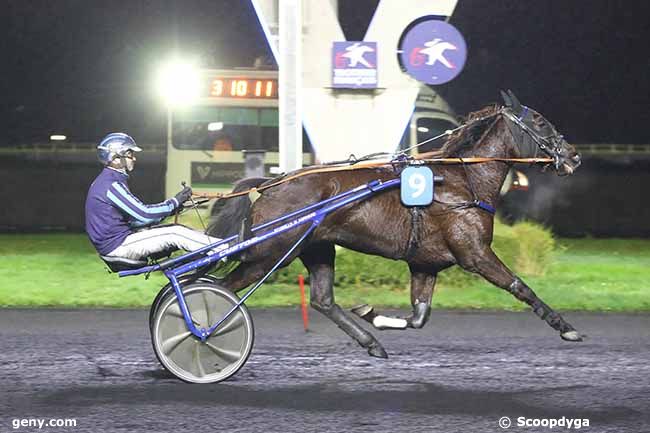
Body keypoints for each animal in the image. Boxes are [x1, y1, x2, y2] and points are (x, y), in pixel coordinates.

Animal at [206, 91, 584, 358]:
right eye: (540, 122)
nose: (574, 155)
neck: (462, 180)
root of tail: (271, 182)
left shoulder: (425, 263)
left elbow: (419, 317)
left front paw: (372, 314)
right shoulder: (475, 254)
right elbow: (521, 287)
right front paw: (567, 328)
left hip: (316, 248)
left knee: (322, 300)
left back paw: (370, 342)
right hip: (268, 254)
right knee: (219, 286)